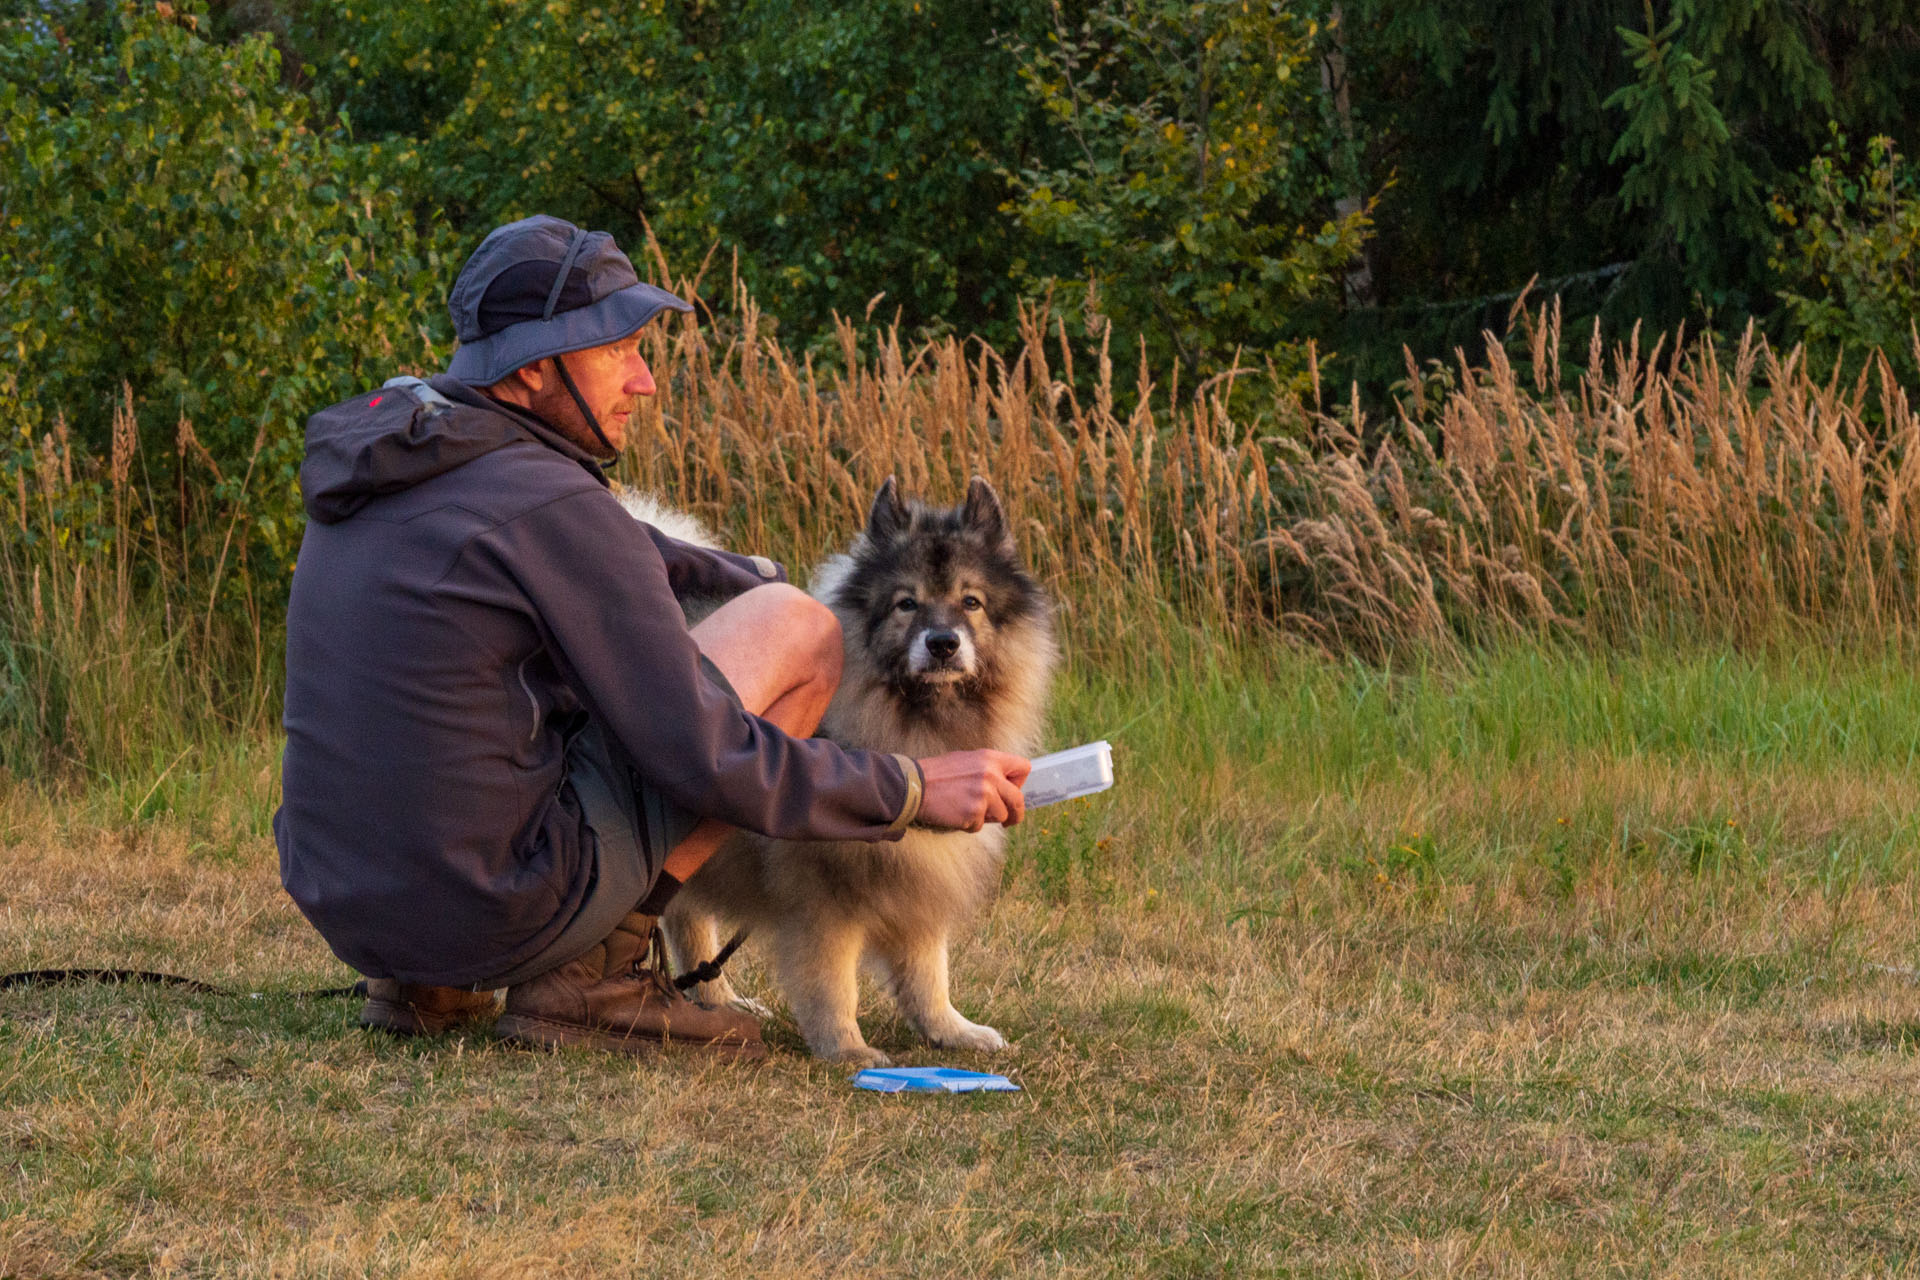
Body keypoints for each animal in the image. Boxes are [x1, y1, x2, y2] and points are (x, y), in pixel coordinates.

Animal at [652, 475, 1059, 1066]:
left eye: (972, 602)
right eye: (906, 604)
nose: (943, 643)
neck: (918, 725)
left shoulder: (922, 870)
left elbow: (927, 969)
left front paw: (949, 1030)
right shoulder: (824, 898)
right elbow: (832, 980)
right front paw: (847, 1049)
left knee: (686, 918)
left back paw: (718, 1001)